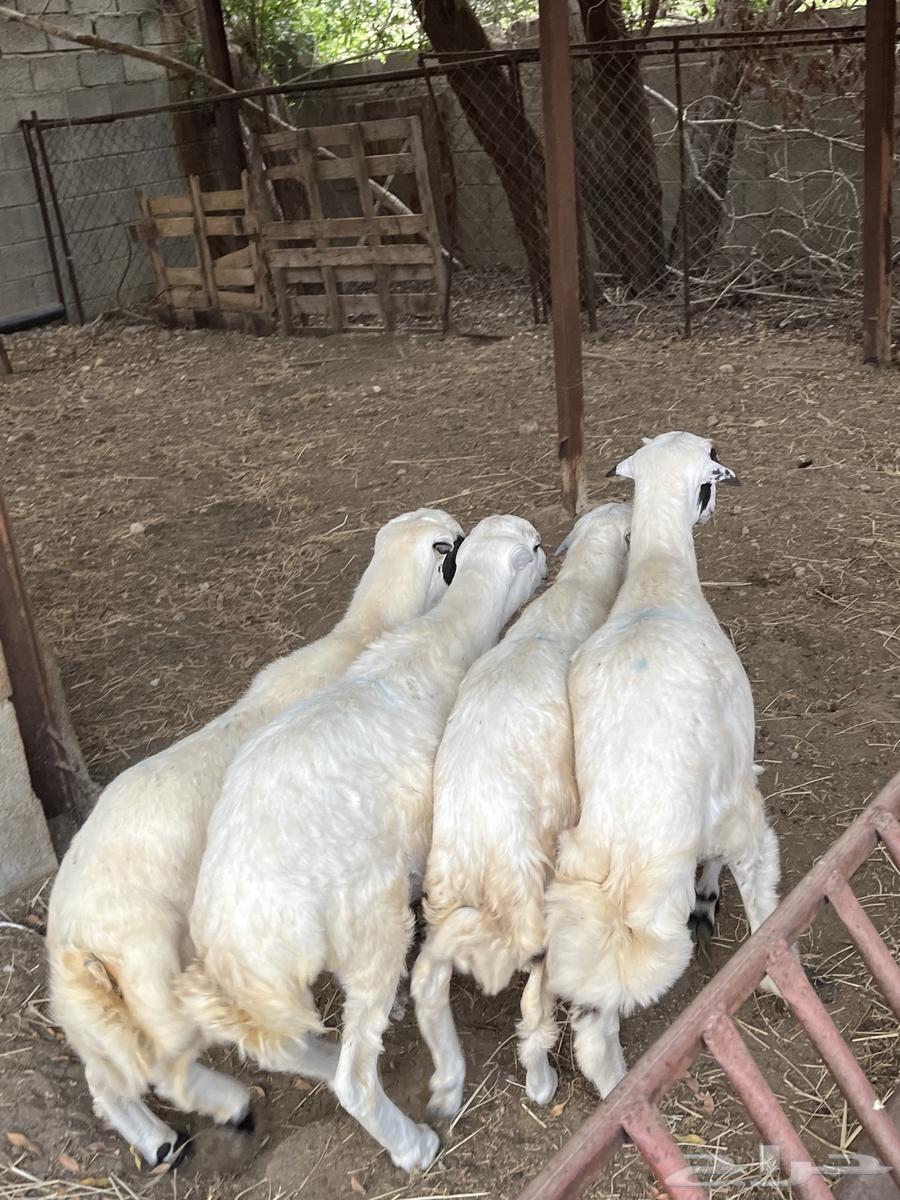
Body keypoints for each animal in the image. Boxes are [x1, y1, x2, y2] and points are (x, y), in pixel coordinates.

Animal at [46, 508, 464, 1167]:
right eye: (453, 543)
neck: (363, 633)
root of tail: (78, 942)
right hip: (165, 984)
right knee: (175, 1069)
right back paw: (240, 1102)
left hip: (95, 1012)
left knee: (106, 1080)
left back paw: (159, 1140)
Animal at [177, 514, 547, 1173]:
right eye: (531, 548)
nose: (549, 552)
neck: (435, 639)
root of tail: (241, 940)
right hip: (369, 923)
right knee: (355, 1077)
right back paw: (413, 1143)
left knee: (287, 1048)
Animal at [410, 501, 632, 1126]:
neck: (567, 605)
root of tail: (481, 862)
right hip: (536, 899)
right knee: (536, 1002)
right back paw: (545, 1078)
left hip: (443, 905)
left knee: (426, 983)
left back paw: (446, 1086)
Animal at [544, 431, 781, 1099]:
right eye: (711, 472)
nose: (715, 507)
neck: (657, 579)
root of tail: (631, 850)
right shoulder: (734, 776)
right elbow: (734, 873)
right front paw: (711, 899)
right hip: (736, 816)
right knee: (761, 887)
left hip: (583, 912)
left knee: (594, 1032)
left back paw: (619, 1090)